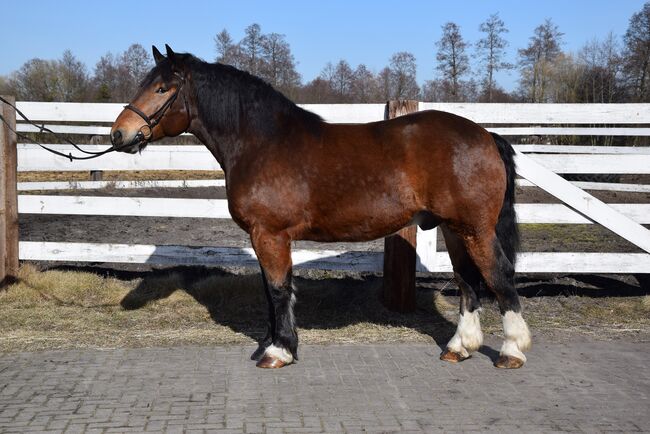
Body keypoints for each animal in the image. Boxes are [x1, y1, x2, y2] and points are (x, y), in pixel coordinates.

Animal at [111, 45, 531, 370]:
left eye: (162, 88)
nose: (119, 134)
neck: (263, 142)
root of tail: (485, 135)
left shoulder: (270, 235)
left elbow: (279, 290)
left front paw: (278, 351)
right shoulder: (266, 238)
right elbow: (271, 291)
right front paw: (274, 343)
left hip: (475, 229)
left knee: (499, 278)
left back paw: (511, 351)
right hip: (454, 228)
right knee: (468, 281)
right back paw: (460, 348)